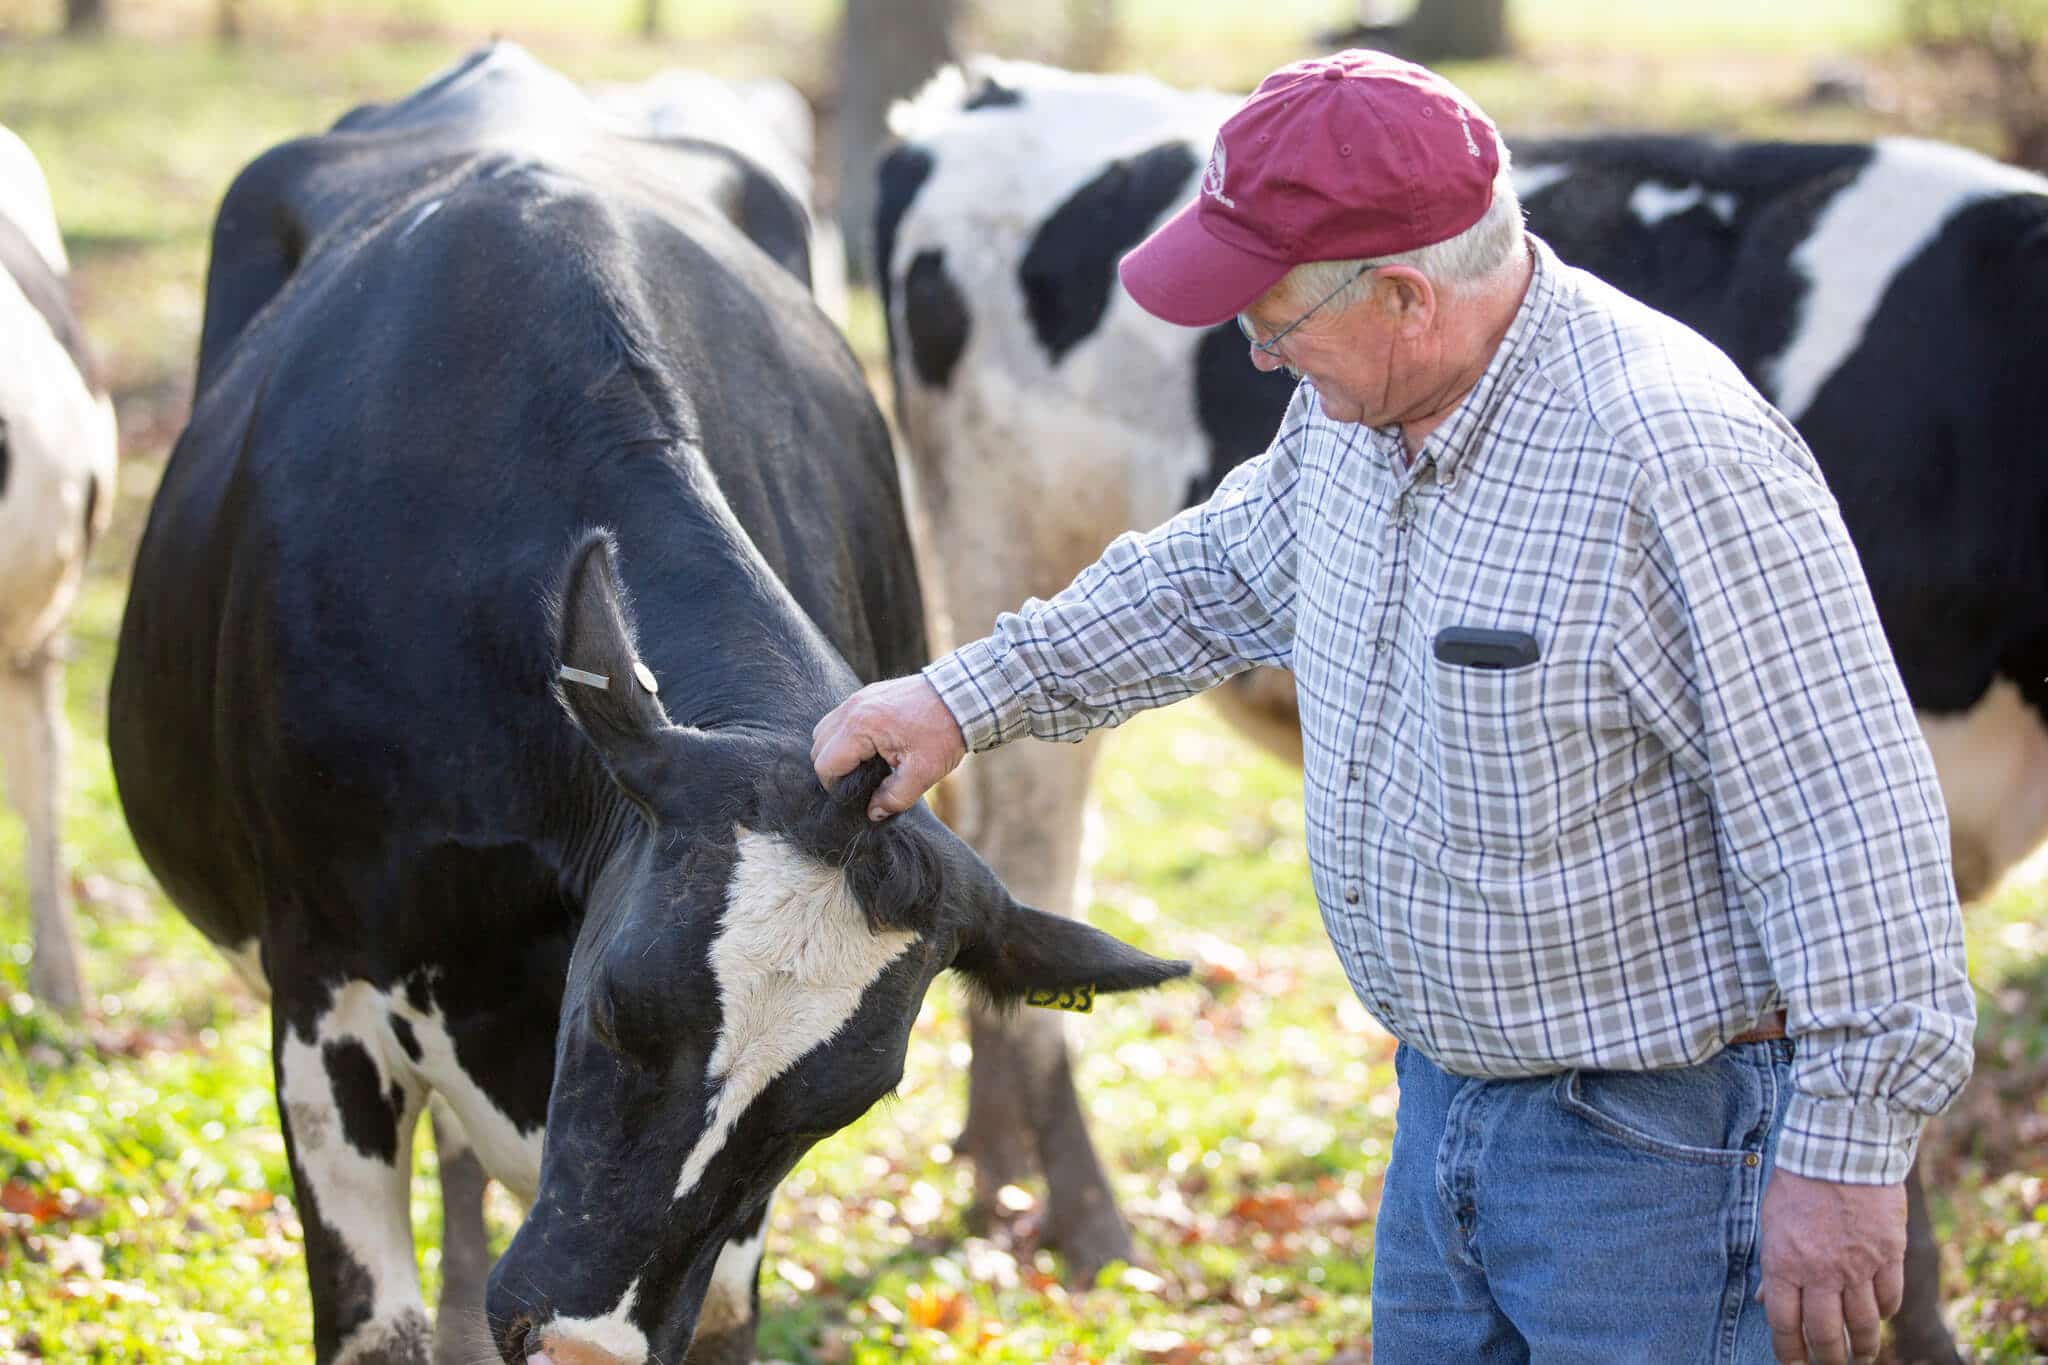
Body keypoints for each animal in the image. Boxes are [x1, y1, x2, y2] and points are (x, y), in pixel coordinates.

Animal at [108, 42, 1187, 1365]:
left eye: (835, 1105)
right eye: (622, 1007)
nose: (586, 1342)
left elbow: (719, 1306)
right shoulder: (323, 996)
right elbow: (375, 1321)